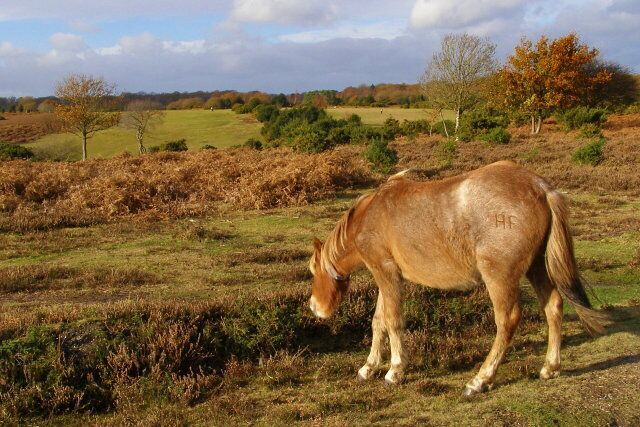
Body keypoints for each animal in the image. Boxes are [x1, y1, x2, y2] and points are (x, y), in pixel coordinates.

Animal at [308, 161, 605, 396]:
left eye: (312, 269)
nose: (314, 307)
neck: (368, 217)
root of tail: (541, 188)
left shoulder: (386, 273)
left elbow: (392, 322)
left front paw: (395, 371)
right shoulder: (388, 278)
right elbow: (378, 321)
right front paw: (368, 367)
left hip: (500, 277)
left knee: (507, 321)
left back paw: (480, 380)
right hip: (536, 267)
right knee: (553, 306)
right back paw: (550, 368)